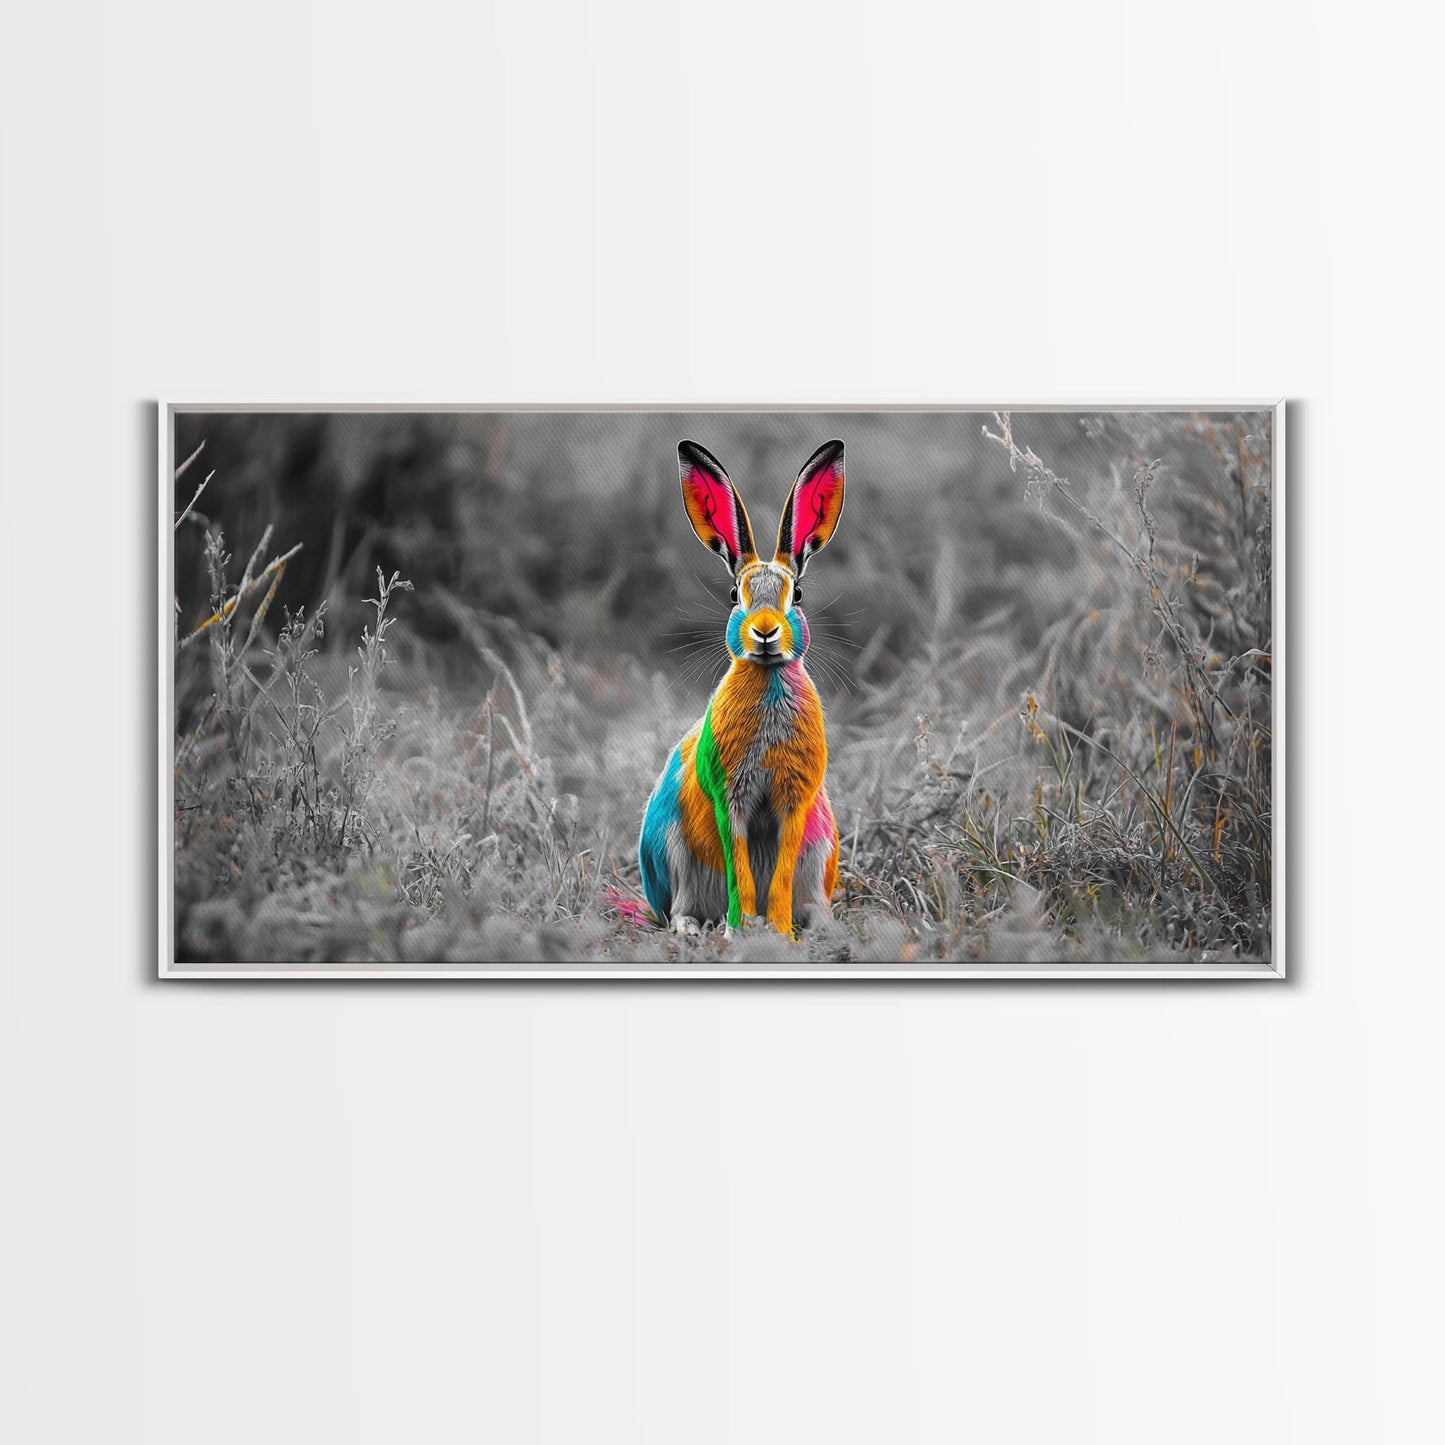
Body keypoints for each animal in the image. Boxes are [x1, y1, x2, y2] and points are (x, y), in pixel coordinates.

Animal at [638, 439, 846, 938]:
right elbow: (741, 867)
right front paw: (741, 929)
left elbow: (782, 869)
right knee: (679, 908)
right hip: (672, 852)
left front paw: (780, 931)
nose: (765, 632)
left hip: (822, 844)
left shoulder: (796, 803)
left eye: (798, 595)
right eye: (735, 595)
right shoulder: (730, 796)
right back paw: (693, 928)